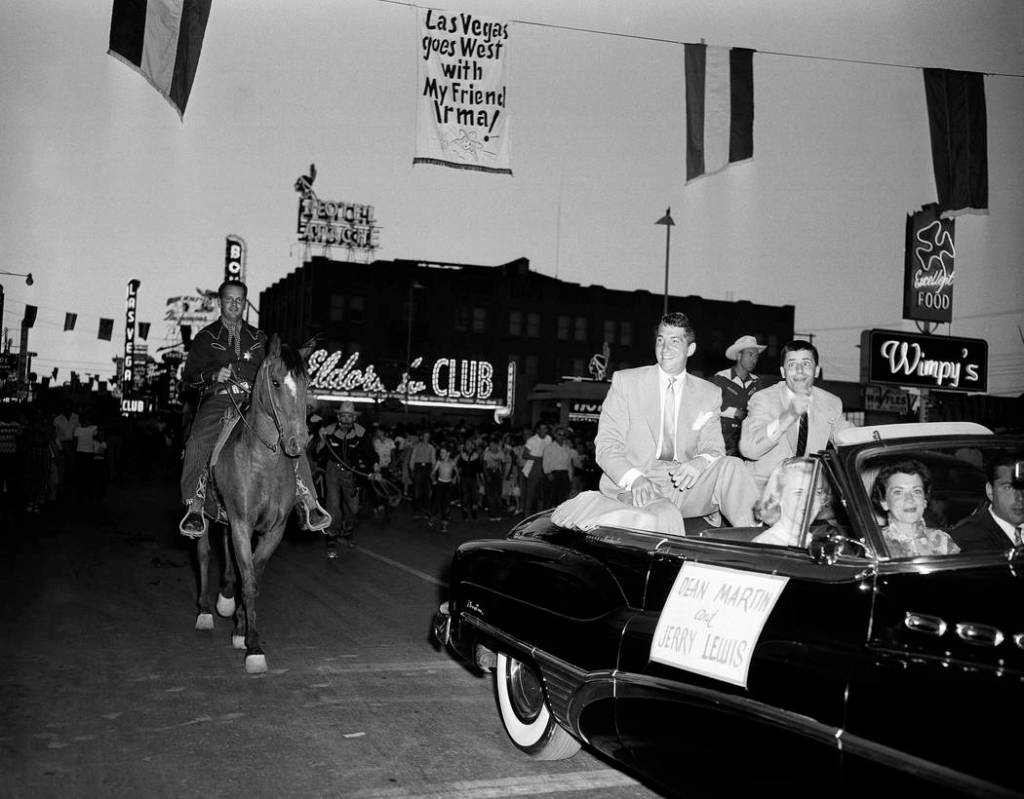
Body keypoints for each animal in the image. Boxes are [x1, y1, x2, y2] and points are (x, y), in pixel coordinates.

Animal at [192, 334, 311, 674]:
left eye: (307, 382)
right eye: (276, 381)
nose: (298, 442)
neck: (263, 463)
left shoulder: (273, 530)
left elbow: (253, 575)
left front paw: (242, 629)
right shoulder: (242, 524)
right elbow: (249, 581)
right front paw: (254, 648)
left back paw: (225, 600)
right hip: (204, 516)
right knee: (204, 553)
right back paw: (205, 611)